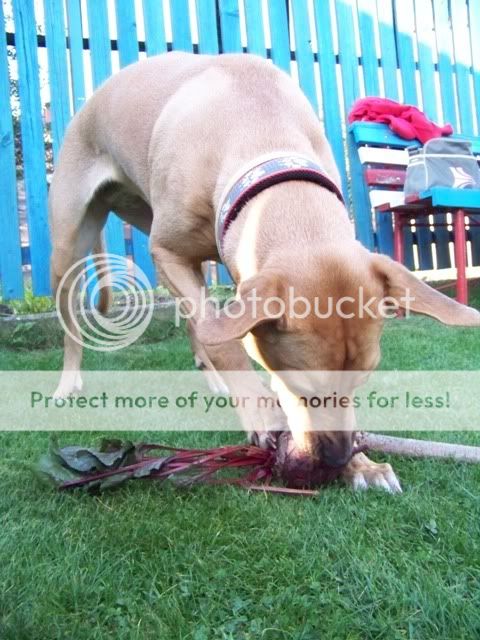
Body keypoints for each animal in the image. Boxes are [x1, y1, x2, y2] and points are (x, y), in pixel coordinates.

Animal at [49, 52, 480, 492]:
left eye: (361, 382)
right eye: (303, 388)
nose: (339, 457)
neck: (259, 128)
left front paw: (364, 465)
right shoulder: (167, 252)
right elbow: (225, 344)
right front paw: (262, 412)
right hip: (68, 248)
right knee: (73, 322)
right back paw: (67, 384)